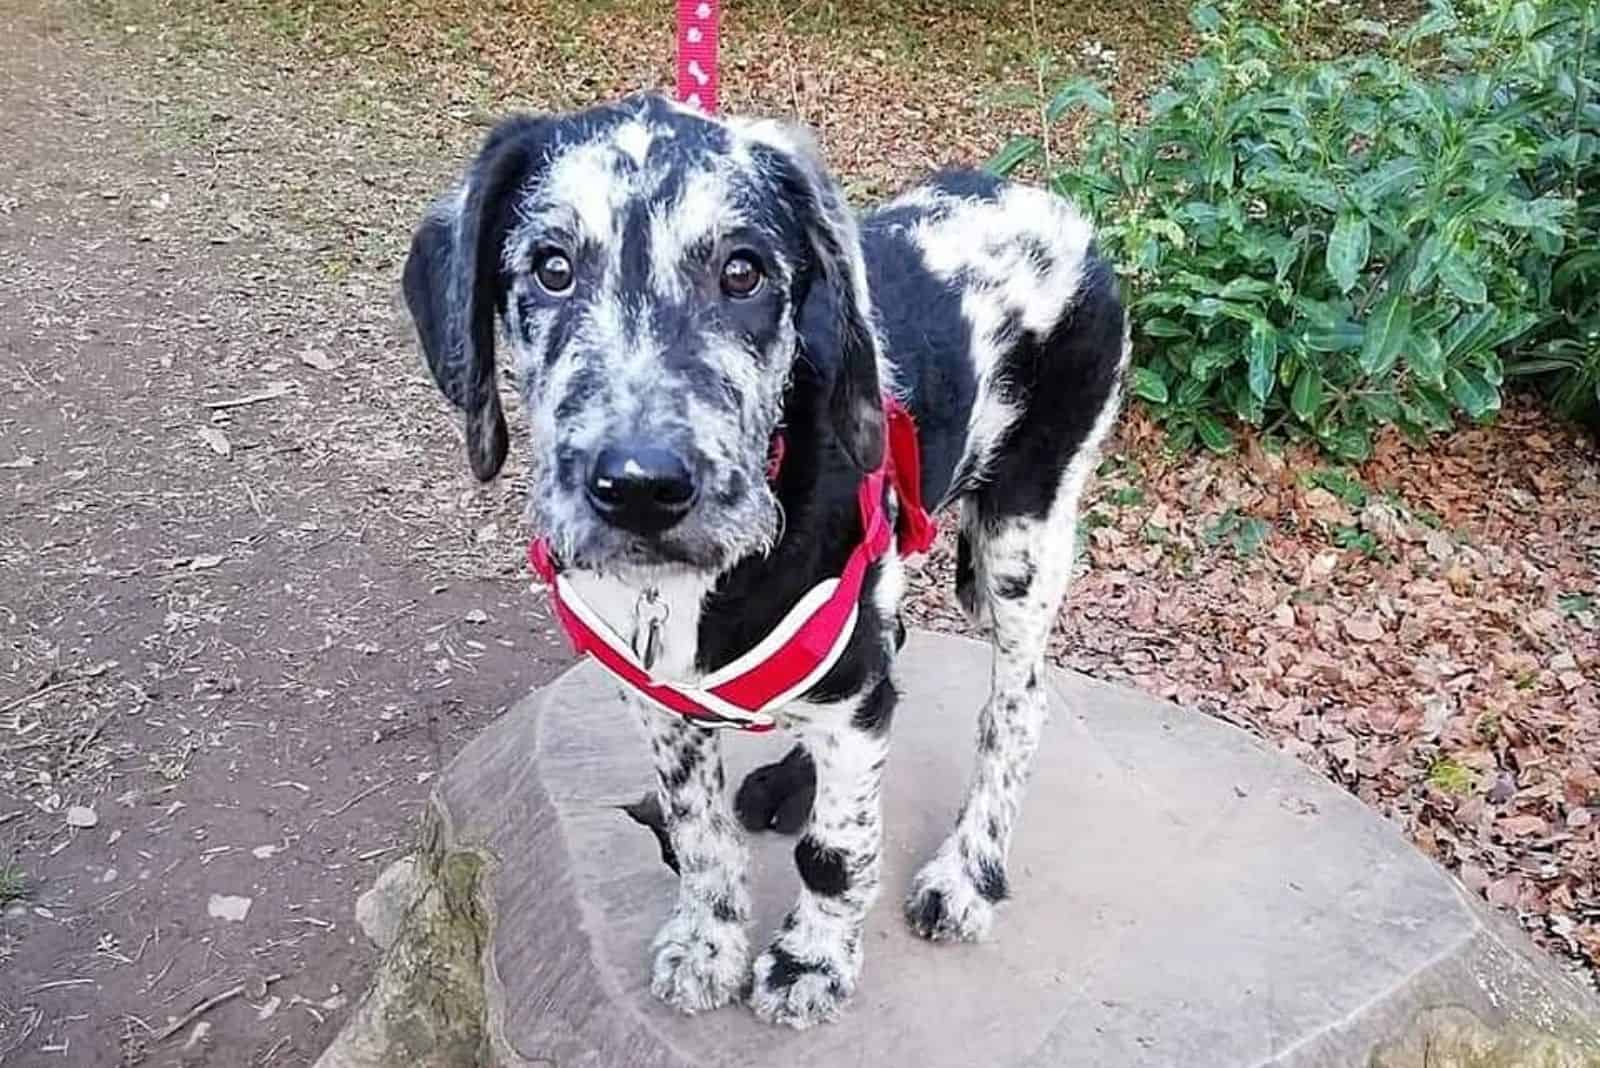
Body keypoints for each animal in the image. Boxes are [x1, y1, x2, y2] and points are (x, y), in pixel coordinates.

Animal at [400, 95, 1126, 1029]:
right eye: (551, 269)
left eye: (743, 272)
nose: (641, 488)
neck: (690, 590)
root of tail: (1050, 205)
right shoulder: (663, 698)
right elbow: (699, 832)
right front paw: (709, 944)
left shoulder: (850, 690)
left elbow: (836, 851)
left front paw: (811, 961)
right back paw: (788, 783)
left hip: (1027, 523)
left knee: (1017, 707)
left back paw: (968, 873)